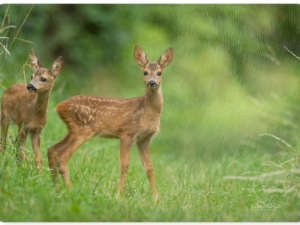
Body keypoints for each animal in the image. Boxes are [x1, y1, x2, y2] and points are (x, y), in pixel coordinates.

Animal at [47, 45, 172, 197]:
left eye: (159, 73)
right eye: (145, 72)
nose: (152, 82)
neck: (146, 111)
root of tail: (58, 107)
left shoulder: (144, 138)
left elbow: (149, 167)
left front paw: (155, 197)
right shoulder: (126, 133)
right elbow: (124, 165)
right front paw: (119, 194)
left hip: (71, 129)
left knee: (51, 149)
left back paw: (56, 187)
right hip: (82, 129)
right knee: (61, 155)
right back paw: (70, 189)